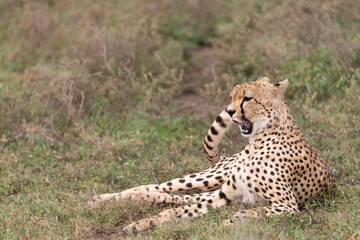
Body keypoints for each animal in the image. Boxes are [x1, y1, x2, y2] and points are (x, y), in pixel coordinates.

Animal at [88, 77, 336, 232]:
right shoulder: (224, 196)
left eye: (247, 98)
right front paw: (143, 224)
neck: (257, 141)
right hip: (211, 177)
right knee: (158, 187)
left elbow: (250, 212)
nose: (230, 111)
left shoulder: (285, 205)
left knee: (177, 196)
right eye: (232, 96)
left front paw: (231, 221)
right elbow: (176, 212)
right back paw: (103, 199)